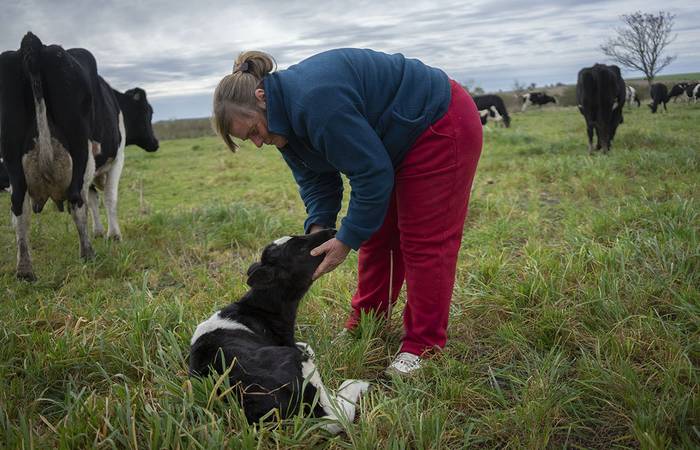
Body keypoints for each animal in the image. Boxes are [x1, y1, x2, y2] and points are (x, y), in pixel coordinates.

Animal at [0, 31, 159, 280]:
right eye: (147, 112)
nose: (155, 143)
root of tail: (34, 44)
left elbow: (93, 200)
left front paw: (99, 232)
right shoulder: (116, 159)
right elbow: (109, 198)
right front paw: (113, 235)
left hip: (13, 160)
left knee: (19, 210)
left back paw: (25, 269)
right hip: (79, 153)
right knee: (75, 201)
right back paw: (87, 254)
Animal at [189, 230, 370, 434]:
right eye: (300, 249)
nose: (332, 231)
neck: (258, 308)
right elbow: (307, 348)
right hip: (301, 369)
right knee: (337, 417)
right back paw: (356, 384)